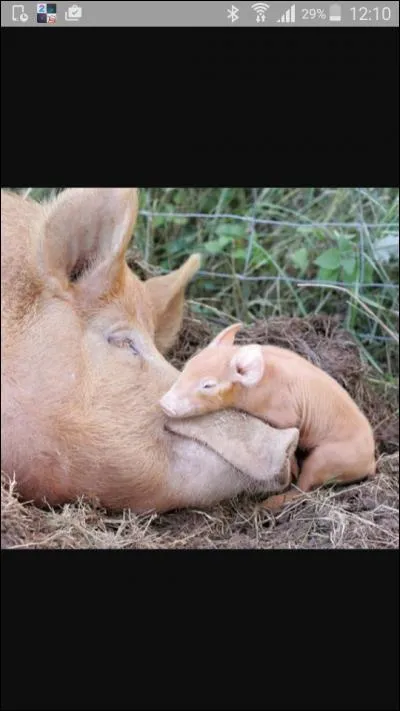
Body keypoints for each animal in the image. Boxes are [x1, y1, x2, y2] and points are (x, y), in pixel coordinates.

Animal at [160, 322, 376, 511]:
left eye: (208, 385)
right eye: (188, 365)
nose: (164, 404)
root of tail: (370, 463)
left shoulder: (286, 414)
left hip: (329, 458)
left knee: (305, 486)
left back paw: (267, 505)